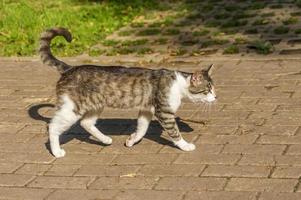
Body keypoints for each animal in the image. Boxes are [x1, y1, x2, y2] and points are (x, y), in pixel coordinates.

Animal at [39, 27, 216, 158]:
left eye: (213, 89)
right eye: (207, 90)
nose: (215, 97)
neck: (178, 84)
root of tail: (69, 68)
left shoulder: (146, 110)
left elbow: (142, 129)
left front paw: (131, 140)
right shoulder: (164, 113)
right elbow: (174, 132)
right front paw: (185, 145)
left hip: (95, 105)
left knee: (86, 123)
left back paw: (105, 139)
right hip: (73, 108)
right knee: (53, 126)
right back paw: (57, 152)